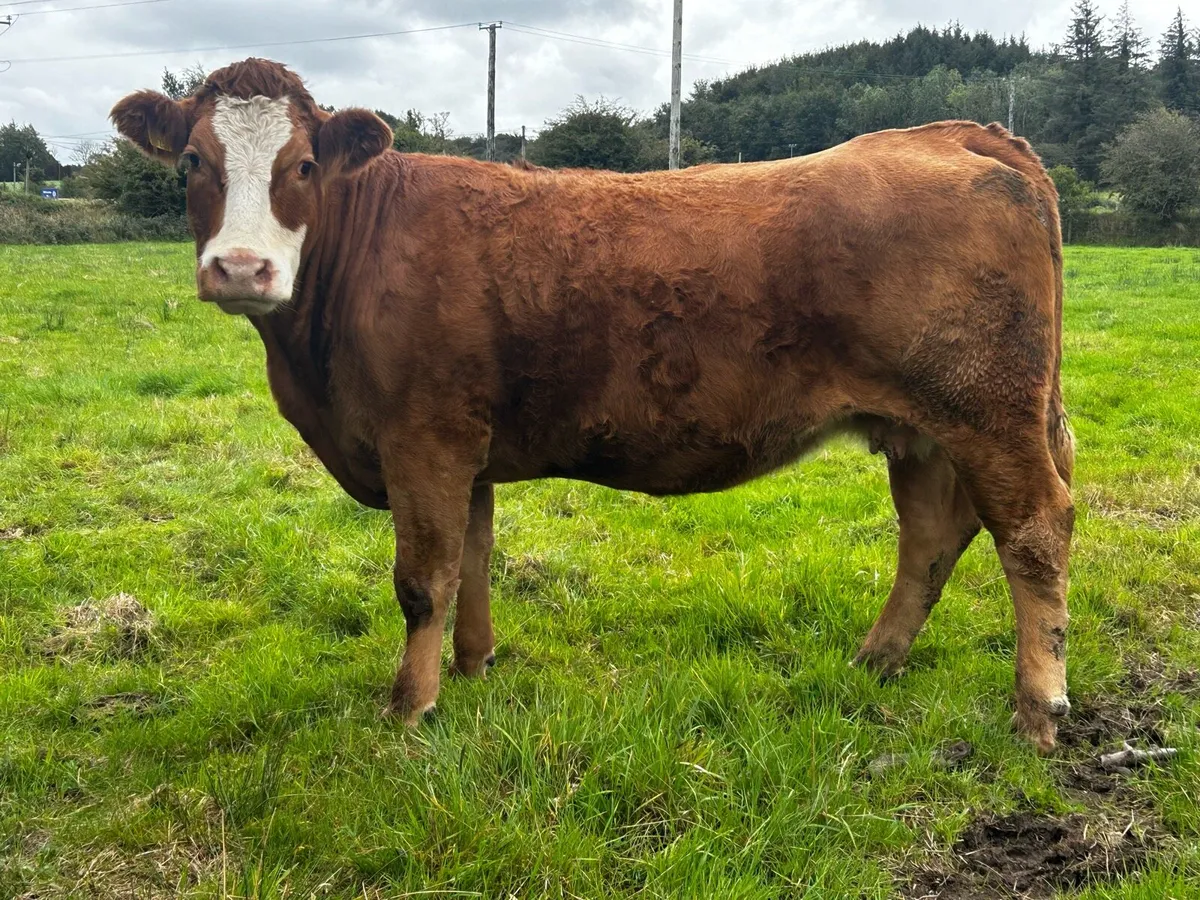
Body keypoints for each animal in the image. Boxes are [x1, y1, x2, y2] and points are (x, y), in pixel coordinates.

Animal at [112, 58, 1075, 751]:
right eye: (194, 162)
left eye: (304, 165)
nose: (241, 268)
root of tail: (959, 135)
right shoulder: (467, 448)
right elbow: (474, 559)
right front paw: (475, 669)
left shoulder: (422, 438)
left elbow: (422, 579)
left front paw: (409, 708)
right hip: (923, 428)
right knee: (934, 536)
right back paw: (876, 661)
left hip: (987, 412)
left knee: (1034, 529)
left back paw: (1037, 707)